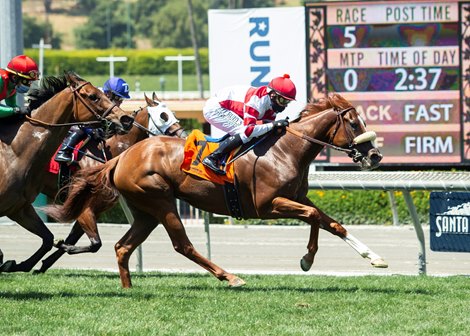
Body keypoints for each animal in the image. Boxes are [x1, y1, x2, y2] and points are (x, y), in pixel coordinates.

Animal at [0, 71, 134, 272]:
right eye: (93, 96)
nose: (126, 119)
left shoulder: (19, 207)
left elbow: (59, 239)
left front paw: (32, 263)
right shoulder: (84, 204)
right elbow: (92, 242)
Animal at [46, 93, 386, 288]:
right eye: (353, 123)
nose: (374, 156)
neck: (286, 150)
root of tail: (122, 156)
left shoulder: (296, 197)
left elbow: (328, 222)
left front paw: (372, 258)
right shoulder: (269, 204)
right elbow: (315, 215)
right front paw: (309, 258)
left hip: (146, 210)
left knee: (122, 247)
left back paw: (128, 289)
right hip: (161, 201)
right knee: (183, 246)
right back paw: (230, 277)